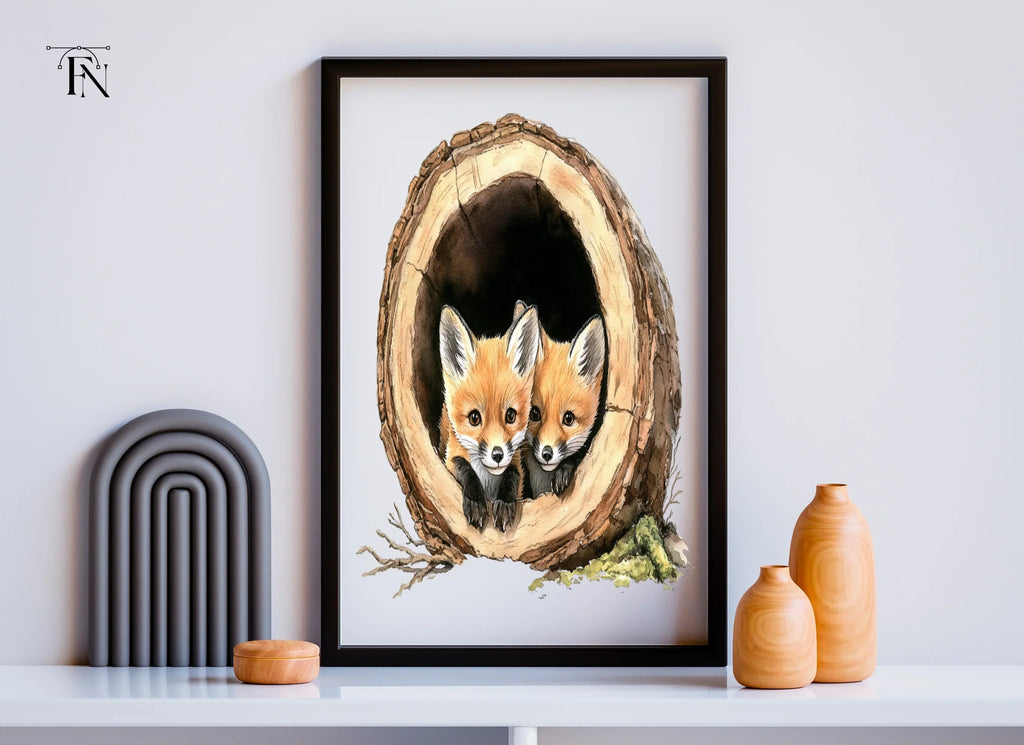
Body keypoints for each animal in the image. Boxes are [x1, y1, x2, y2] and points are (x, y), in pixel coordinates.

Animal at [438, 303, 541, 532]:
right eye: (474, 418)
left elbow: (512, 475)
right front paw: (475, 502)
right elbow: (463, 467)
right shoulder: (450, 457)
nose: (497, 455)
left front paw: (504, 503)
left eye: (510, 415)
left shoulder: (515, 462)